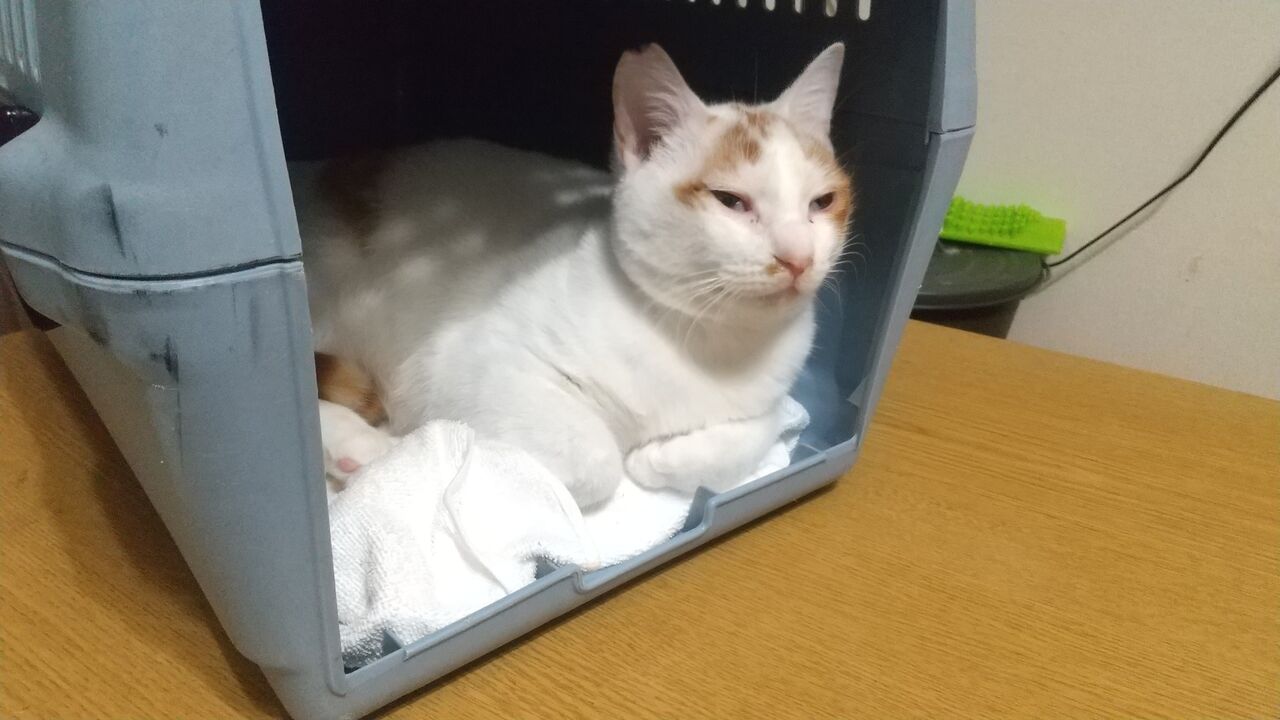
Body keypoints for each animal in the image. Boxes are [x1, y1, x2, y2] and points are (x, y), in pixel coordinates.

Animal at [296, 43, 853, 508]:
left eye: (822, 202)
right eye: (730, 201)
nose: (799, 257)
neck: (707, 339)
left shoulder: (773, 395)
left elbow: (758, 430)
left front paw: (659, 459)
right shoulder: (472, 366)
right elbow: (596, 460)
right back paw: (359, 445)